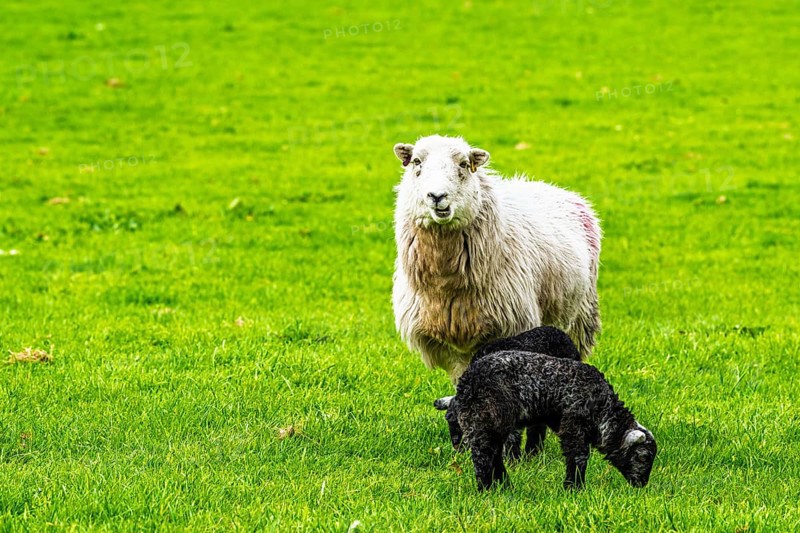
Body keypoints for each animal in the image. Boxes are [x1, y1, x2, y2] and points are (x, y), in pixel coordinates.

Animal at [392, 135, 601, 385]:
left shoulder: (509, 329)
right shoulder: (445, 344)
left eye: (464, 164)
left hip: (580, 316)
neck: (445, 284)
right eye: (416, 162)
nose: (437, 197)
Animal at [435, 326, 582, 459]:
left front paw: (512, 460)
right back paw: (533, 452)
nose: (457, 448)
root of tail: (562, 334)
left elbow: (512, 436)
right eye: (449, 420)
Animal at [437, 350, 657, 491]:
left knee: (494, 454)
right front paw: (574, 488)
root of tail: (465, 383)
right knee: (483, 455)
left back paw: (504, 486)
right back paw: (486, 489)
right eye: (643, 457)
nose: (642, 484)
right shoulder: (574, 424)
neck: (603, 410)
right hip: (485, 417)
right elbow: (578, 456)